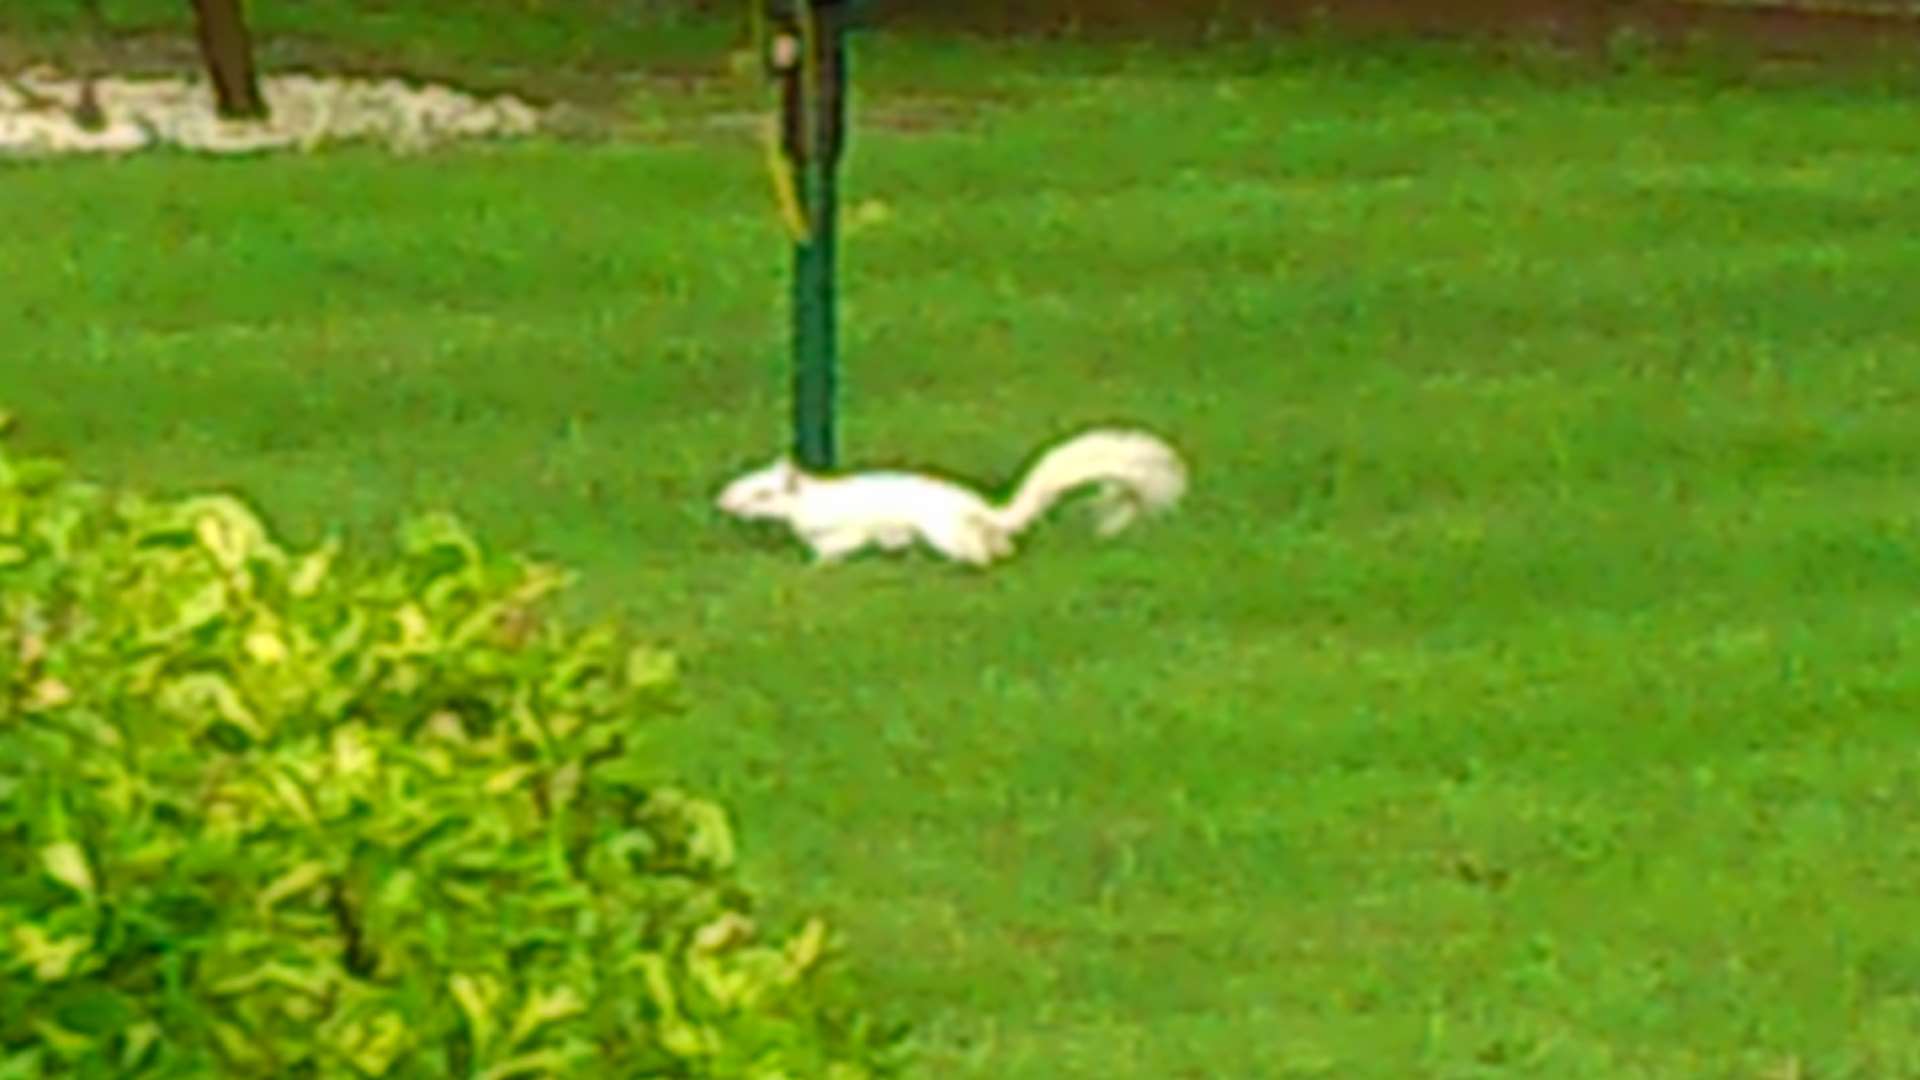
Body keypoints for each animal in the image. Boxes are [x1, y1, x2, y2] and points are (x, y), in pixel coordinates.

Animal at [718, 424, 1182, 568]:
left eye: (762, 493)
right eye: (744, 481)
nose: (726, 503)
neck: (810, 500)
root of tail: (984, 512)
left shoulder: (845, 529)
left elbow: (836, 548)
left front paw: (814, 566)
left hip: (944, 534)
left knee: (981, 554)